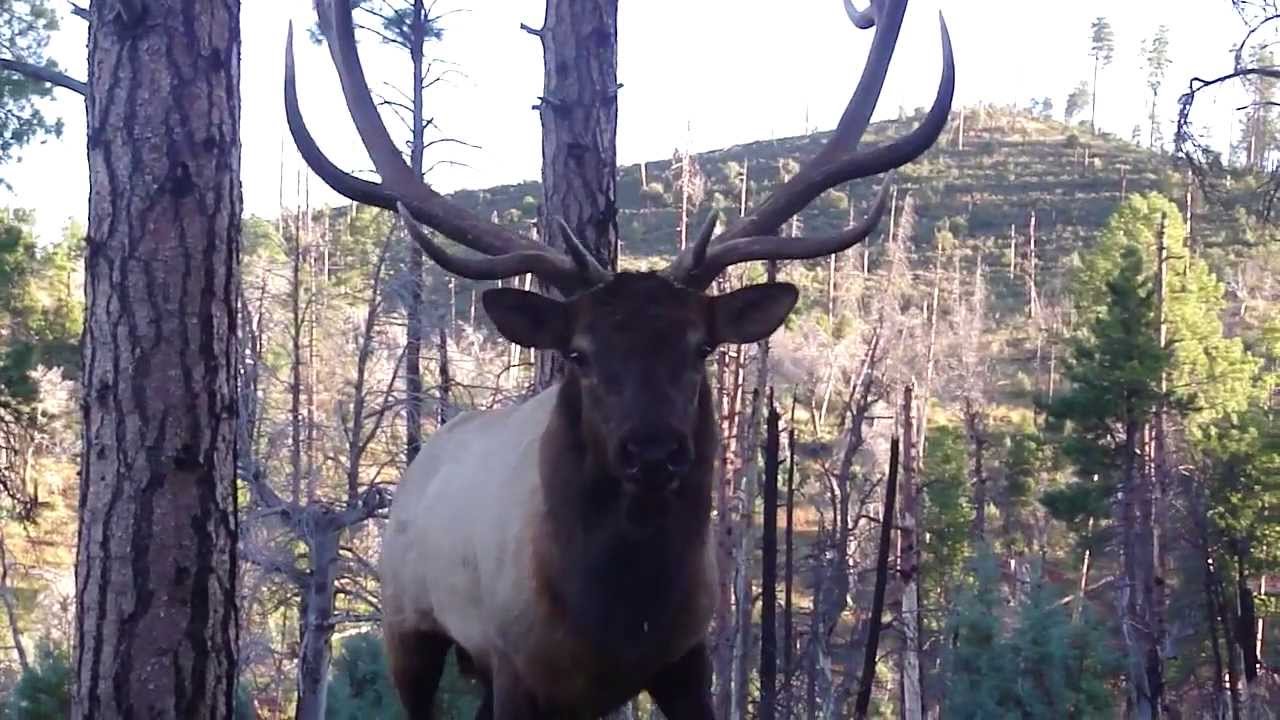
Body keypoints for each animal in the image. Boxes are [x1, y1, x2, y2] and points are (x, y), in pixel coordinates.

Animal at [284, 0, 953, 717]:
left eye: (701, 346)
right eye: (579, 353)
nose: (653, 452)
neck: (620, 622)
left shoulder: (687, 657)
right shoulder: (516, 664)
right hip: (408, 625)